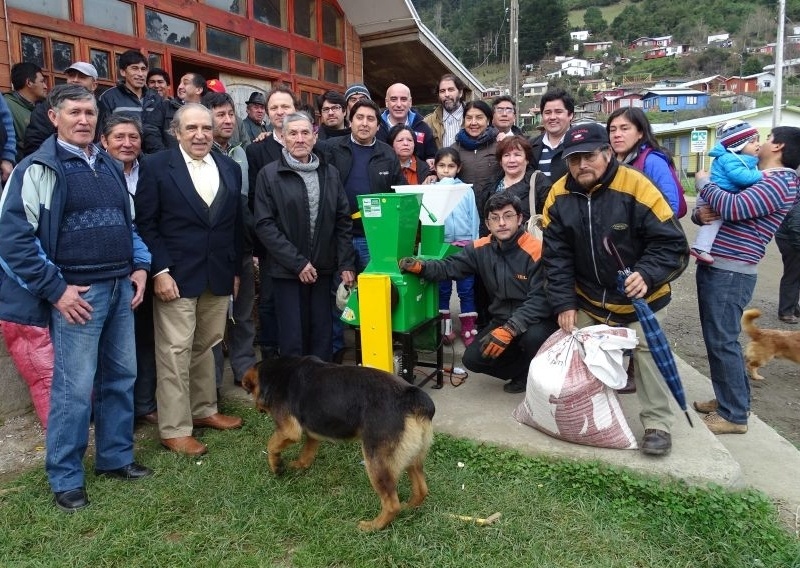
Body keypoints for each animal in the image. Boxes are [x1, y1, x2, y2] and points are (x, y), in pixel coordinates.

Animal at [241, 358, 434, 532]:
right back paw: (409, 508)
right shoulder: (312, 431)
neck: (277, 370)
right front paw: (300, 465)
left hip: (376, 461)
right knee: (421, 489)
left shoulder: (289, 431)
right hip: (413, 457)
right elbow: (307, 451)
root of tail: (413, 398)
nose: (257, 408)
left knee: (392, 504)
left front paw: (276, 465)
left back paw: (373, 526)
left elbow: (271, 445)